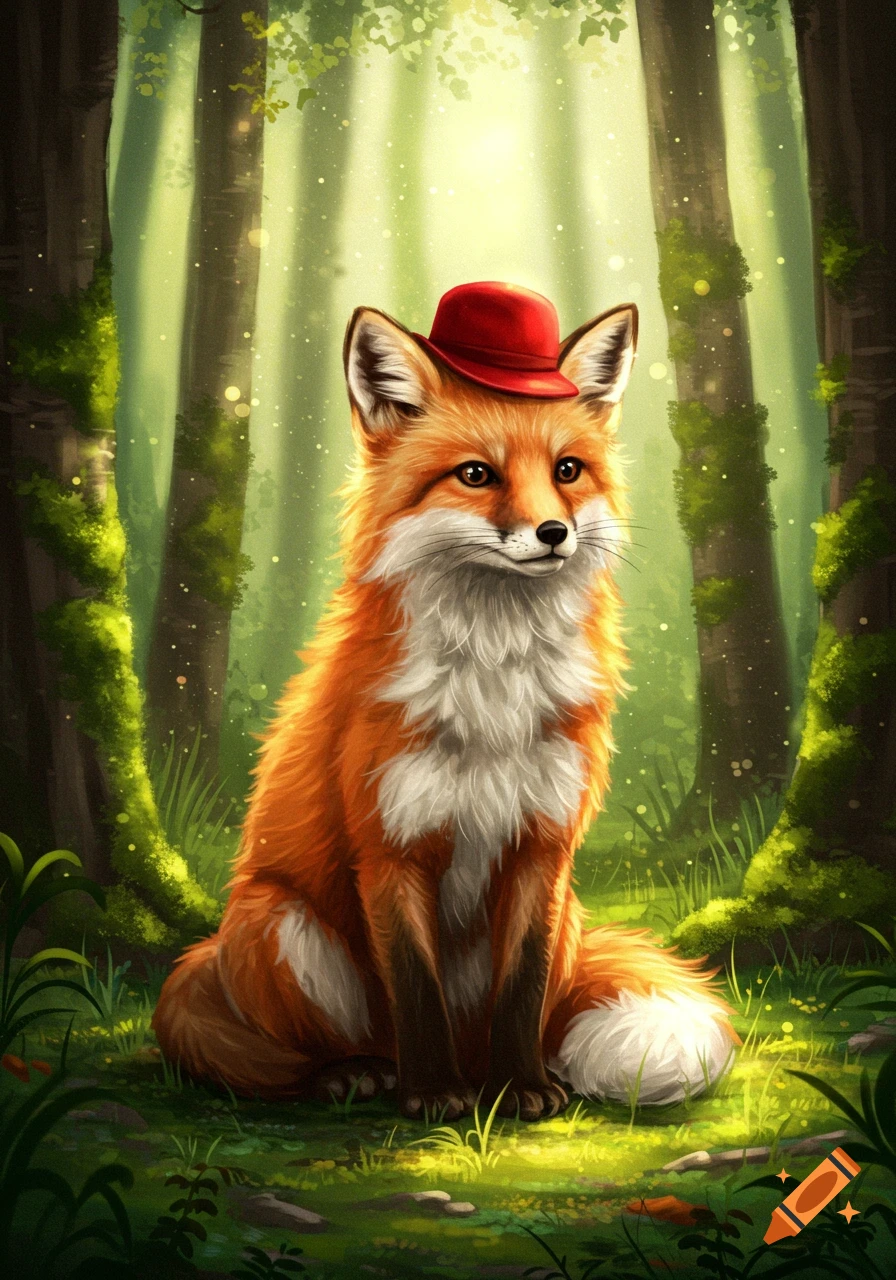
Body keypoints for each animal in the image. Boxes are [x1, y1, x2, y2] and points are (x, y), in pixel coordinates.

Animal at [153, 282, 736, 1121]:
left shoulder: (542, 846)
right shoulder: (390, 848)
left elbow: (522, 987)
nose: (553, 532)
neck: (493, 679)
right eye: (476, 475)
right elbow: (415, 989)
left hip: (564, 916)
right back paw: (357, 1072)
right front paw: (432, 1096)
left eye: (567, 469)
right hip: (283, 923)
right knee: (319, 1046)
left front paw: (521, 1086)